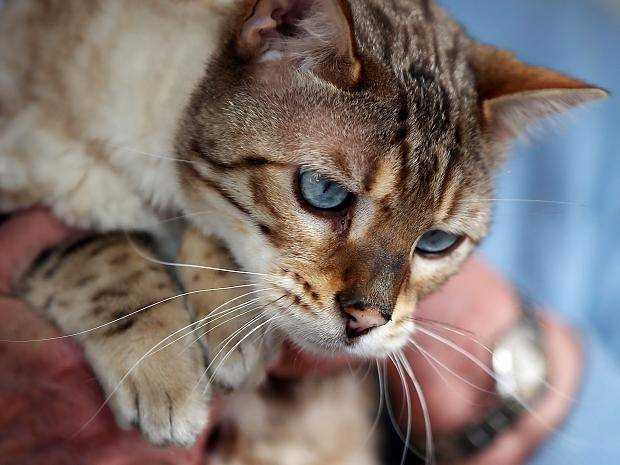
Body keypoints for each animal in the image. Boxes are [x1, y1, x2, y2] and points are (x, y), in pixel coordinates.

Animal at [0, 0, 604, 460]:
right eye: (324, 192)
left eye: (437, 243)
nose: (366, 321)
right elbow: (99, 249)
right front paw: (164, 373)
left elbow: (209, 234)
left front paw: (229, 330)